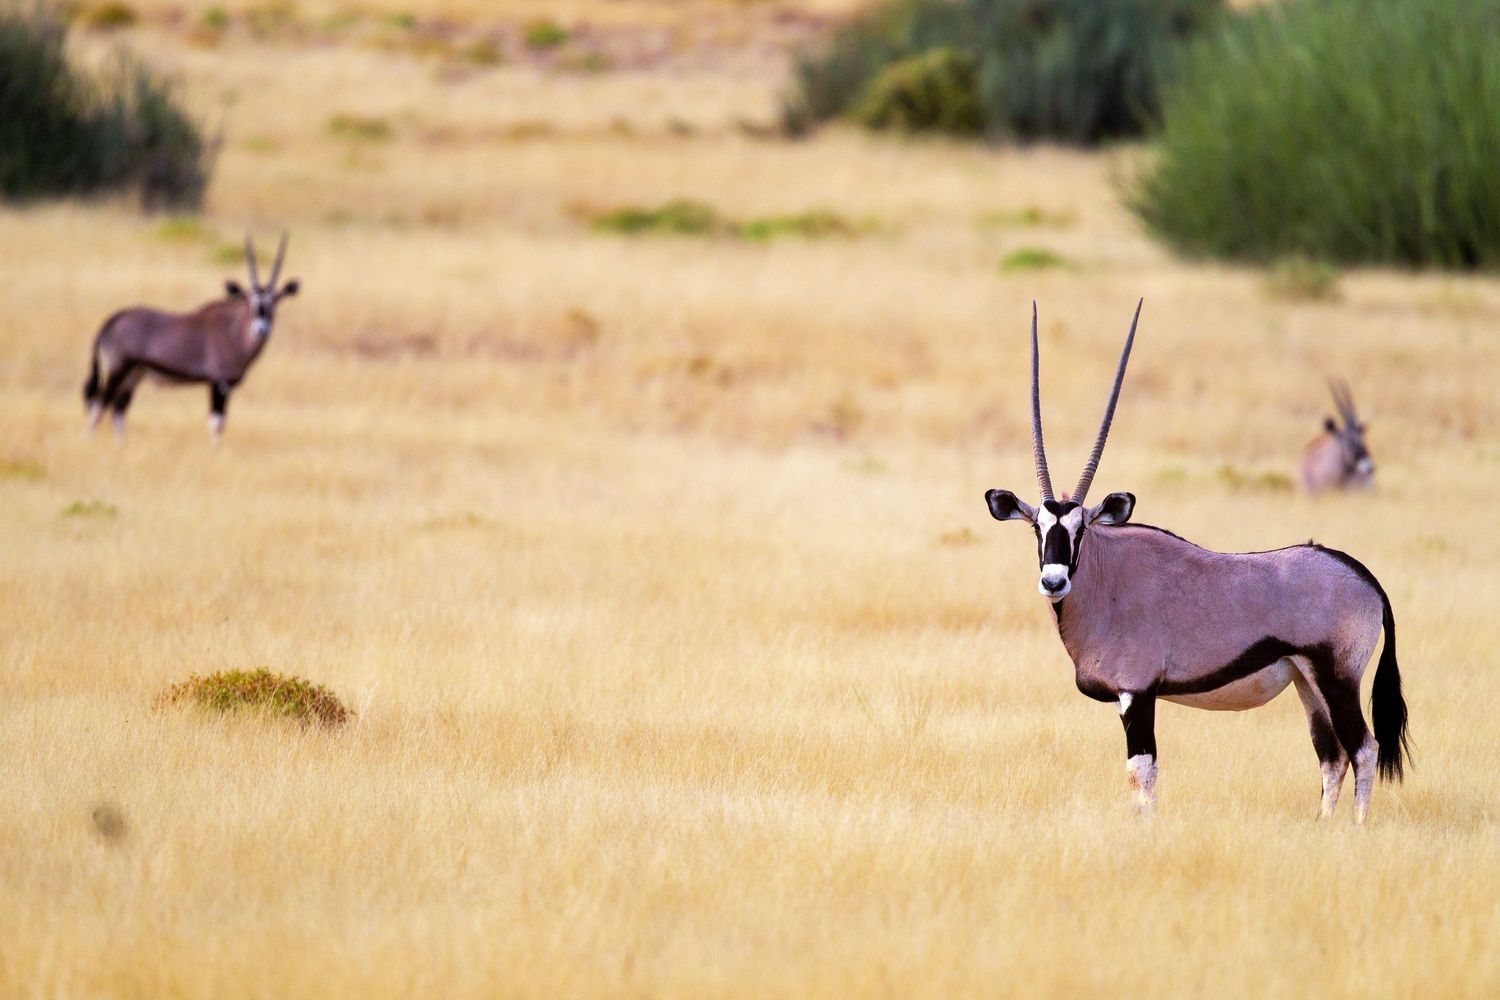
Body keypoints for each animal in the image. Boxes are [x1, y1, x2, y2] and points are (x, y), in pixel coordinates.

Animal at [82, 233, 299, 441]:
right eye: (249, 301)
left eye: (275, 302)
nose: (261, 330)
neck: (234, 331)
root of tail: (112, 321)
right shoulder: (219, 384)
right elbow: (217, 424)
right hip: (118, 370)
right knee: (98, 406)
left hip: (133, 375)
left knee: (117, 411)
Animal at [984, 302, 1409, 822]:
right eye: (1038, 528)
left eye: (1080, 528)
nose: (1053, 581)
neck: (1107, 577)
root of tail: (1366, 579)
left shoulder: (1137, 692)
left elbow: (1141, 772)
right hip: (1307, 683)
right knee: (1331, 756)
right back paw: (1322, 826)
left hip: (1337, 678)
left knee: (1363, 748)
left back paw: (1355, 828)